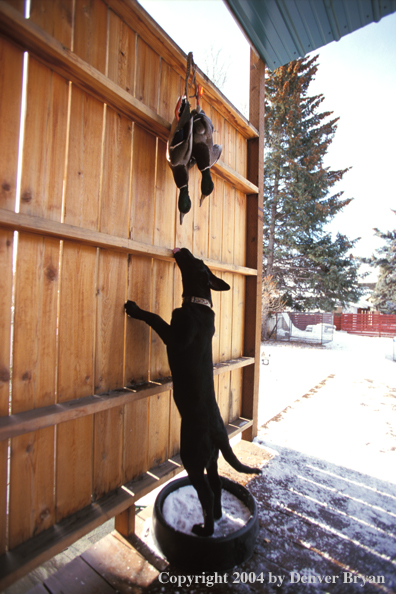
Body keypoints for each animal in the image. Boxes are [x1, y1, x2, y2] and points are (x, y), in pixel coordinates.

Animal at [124, 247, 260, 536]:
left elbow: (156, 318)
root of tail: (219, 432)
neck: (198, 304)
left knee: (206, 492)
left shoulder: (175, 338)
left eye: (196, 260)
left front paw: (135, 309)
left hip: (192, 455)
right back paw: (217, 517)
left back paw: (204, 530)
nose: (184, 248)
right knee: (216, 484)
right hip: (211, 458)